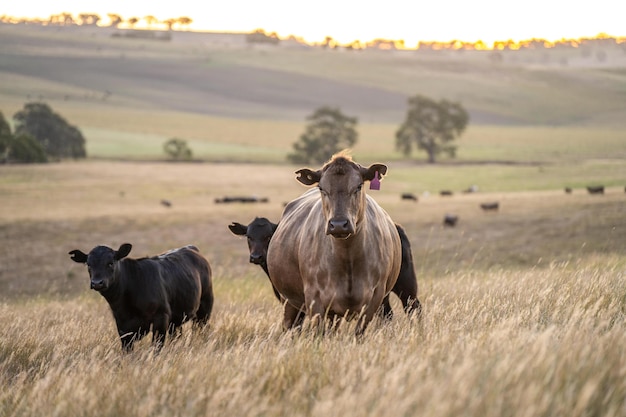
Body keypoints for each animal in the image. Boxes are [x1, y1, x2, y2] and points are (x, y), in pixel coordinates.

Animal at [69, 242, 212, 350]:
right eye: (88, 264)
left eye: (110, 263)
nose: (97, 283)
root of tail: (191, 248)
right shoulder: (122, 325)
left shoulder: (161, 317)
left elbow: (156, 347)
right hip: (177, 318)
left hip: (205, 307)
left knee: (201, 328)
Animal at [229, 216, 420, 320]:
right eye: (249, 237)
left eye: (268, 236)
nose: (256, 257)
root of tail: (395, 227)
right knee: (387, 314)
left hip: (406, 283)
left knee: (413, 307)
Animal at [264, 153, 400, 334]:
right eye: (321, 188)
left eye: (358, 186)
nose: (339, 224)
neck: (348, 258)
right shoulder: (314, 299)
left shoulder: (375, 298)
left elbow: (359, 332)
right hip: (289, 301)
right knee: (290, 326)